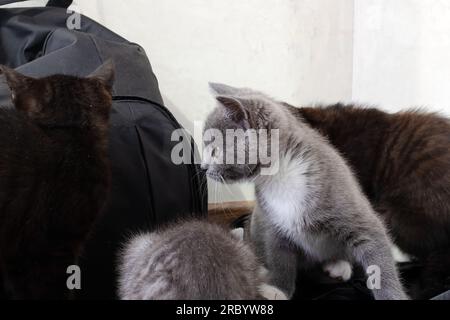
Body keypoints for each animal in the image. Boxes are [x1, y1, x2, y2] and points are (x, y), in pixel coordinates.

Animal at [202, 82, 410, 300]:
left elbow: (377, 252)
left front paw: (392, 295)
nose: (203, 167)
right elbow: (279, 255)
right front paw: (278, 289)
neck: (280, 174)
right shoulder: (273, 221)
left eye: (215, 151)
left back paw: (339, 263)